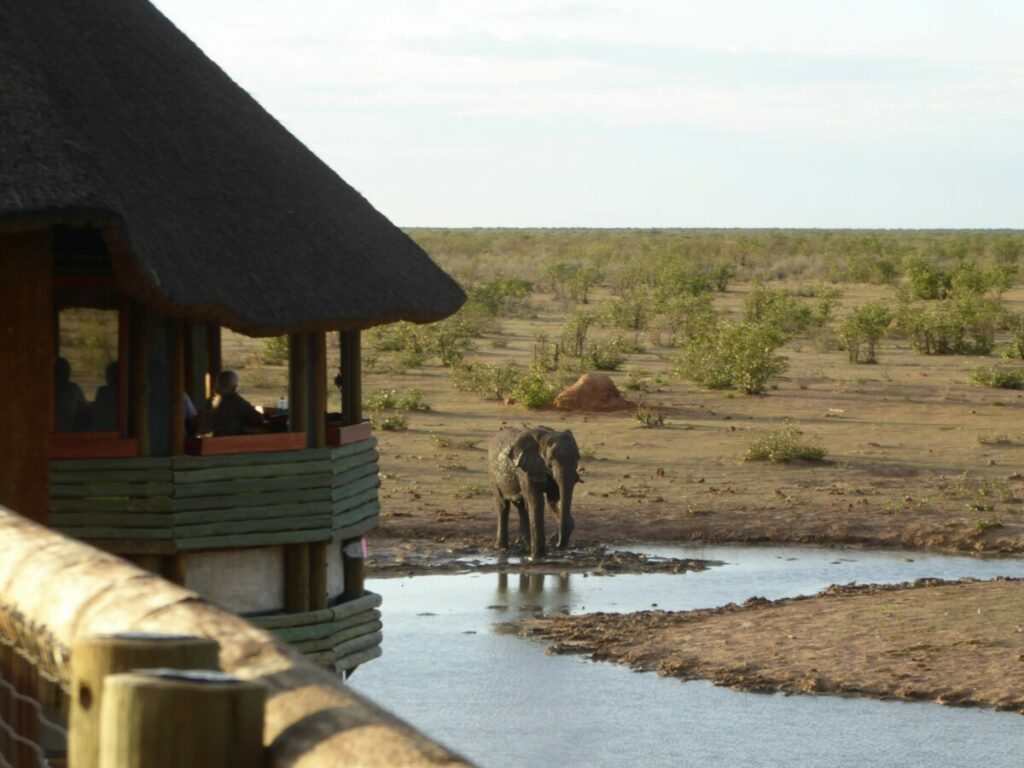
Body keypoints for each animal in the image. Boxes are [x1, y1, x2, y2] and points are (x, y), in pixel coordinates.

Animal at [485, 428, 581, 561]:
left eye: (578, 457)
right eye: (550, 459)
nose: (558, 545)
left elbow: (554, 500)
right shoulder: (525, 469)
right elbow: (536, 501)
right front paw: (537, 557)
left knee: (522, 506)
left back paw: (525, 548)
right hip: (493, 474)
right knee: (503, 505)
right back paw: (502, 548)